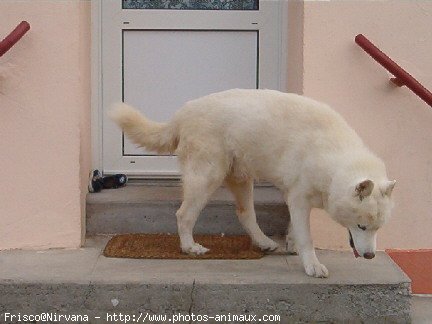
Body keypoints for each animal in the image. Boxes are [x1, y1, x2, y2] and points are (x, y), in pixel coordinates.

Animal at [110, 89, 394, 278]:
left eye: (378, 228)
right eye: (361, 226)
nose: (370, 256)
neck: (334, 158)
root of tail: (183, 113)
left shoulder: (294, 197)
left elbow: (295, 229)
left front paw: (291, 244)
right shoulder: (299, 198)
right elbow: (307, 237)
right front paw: (312, 265)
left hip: (242, 179)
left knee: (245, 214)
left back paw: (263, 242)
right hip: (206, 178)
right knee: (184, 214)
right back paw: (190, 247)